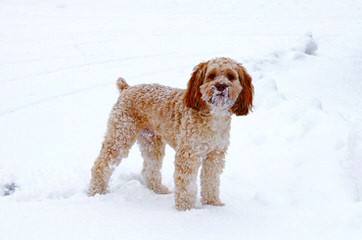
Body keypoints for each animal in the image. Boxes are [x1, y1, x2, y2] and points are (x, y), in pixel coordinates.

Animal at [88, 56, 253, 210]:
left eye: (231, 76)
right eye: (211, 75)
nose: (221, 86)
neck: (214, 115)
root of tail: (126, 88)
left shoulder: (215, 154)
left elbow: (211, 181)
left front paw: (213, 204)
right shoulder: (188, 153)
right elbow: (186, 185)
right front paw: (186, 209)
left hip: (151, 142)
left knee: (149, 169)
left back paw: (158, 189)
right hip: (120, 135)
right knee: (101, 164)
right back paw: (95, 191)